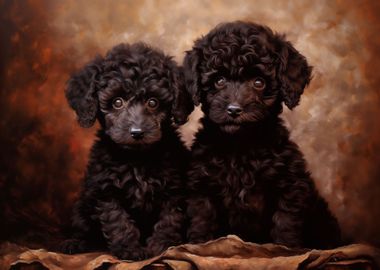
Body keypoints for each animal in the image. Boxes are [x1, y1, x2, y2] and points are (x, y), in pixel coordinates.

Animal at [62, 42, 194, 260]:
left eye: (153, 102)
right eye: (117, 102)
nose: (137, 132)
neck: (136, 159)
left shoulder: (174, 189)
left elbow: (170, 218)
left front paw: (162, 246)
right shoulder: (106, 191)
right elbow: (118, 221)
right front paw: (129, 249)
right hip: (83, 203)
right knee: (82, 225)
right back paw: (75, 243)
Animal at [183, 21, 340, 249]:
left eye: (259, 82)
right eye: (219, 81)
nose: (234, 109)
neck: (240, 146)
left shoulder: (290, 188)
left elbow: (285, 225)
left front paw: (286, 248)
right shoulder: (202, 189)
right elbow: (202, 221)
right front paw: (198, 244)